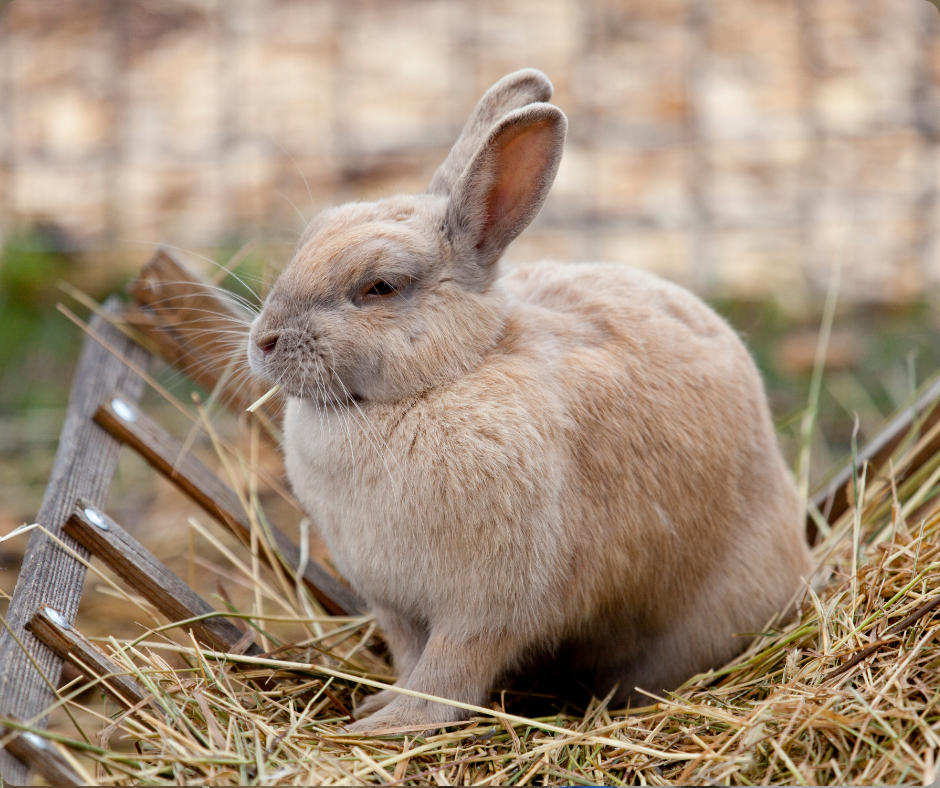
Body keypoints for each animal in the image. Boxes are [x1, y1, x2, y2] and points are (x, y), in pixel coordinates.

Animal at [247, 68, 813, 734]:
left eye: (380, 286)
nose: (263, 340)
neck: (447, 376)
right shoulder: (395, 605)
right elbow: (411, 659)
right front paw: (377, 706)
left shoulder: (485, 607)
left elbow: (447, 674)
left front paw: (391, 725)